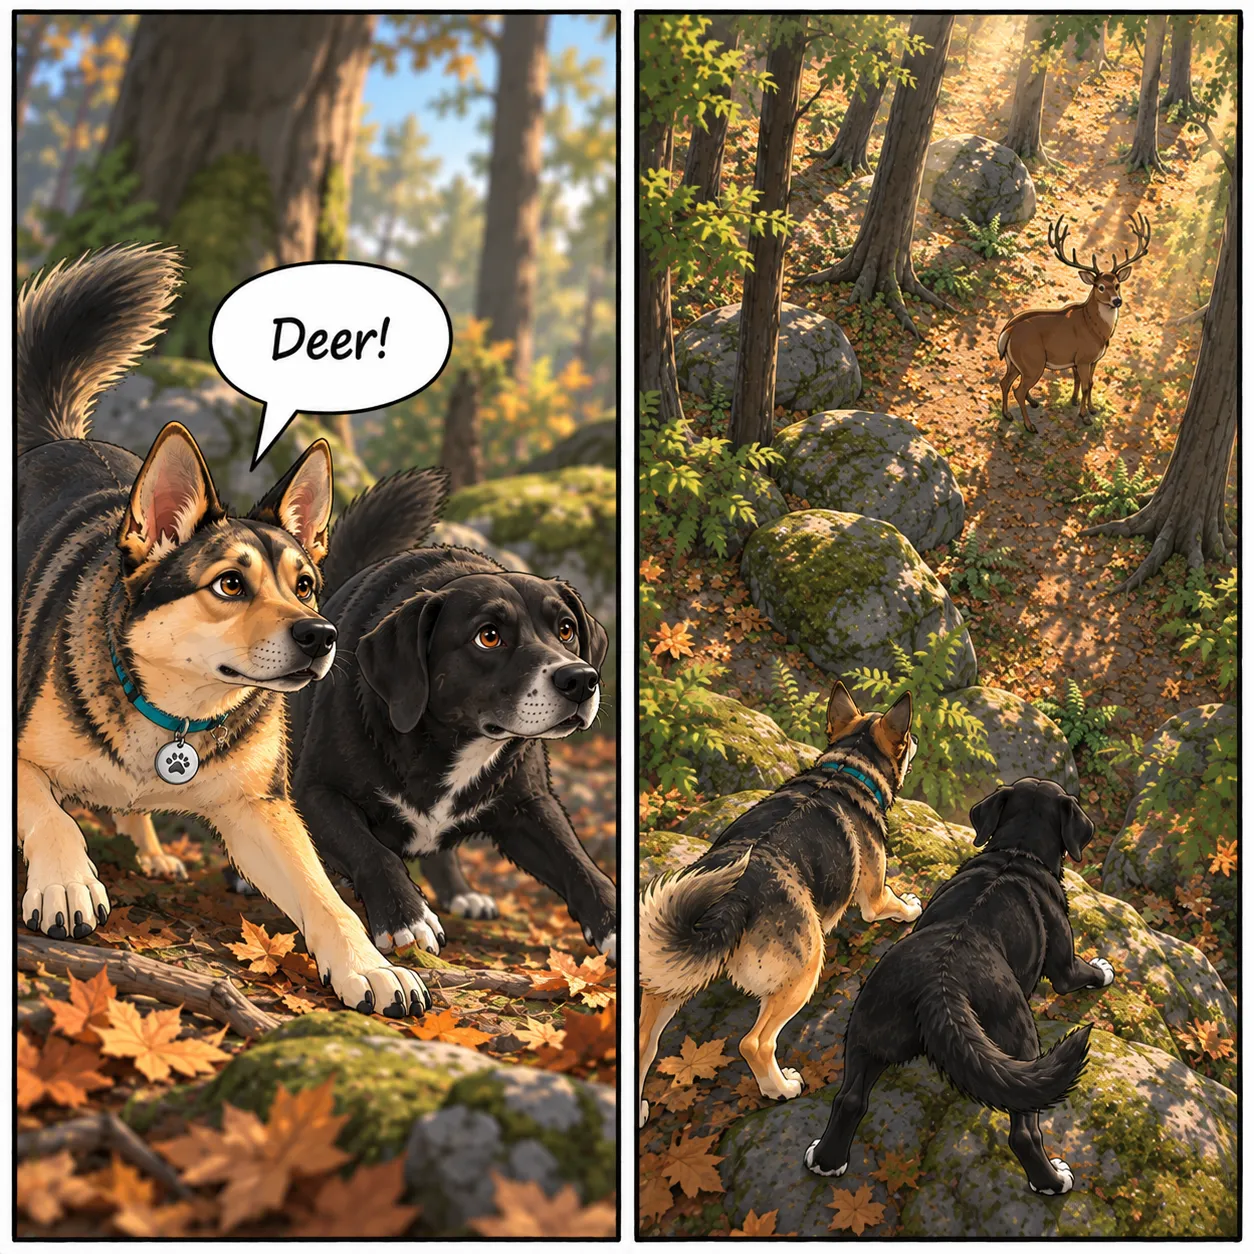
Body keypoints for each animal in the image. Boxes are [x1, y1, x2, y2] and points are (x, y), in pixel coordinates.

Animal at [997, 213, 1151, 433]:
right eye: (1100, 286)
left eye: (1117, 285)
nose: (1117, 301)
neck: (1096, 329)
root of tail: (1008, 331)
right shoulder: (1084, 357)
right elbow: (1086, 386)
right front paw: (1084, 416)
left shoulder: (1091, 359)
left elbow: (1090, 383)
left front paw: (1086, 406)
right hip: (1033, 361)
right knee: (1018, 390)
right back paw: (1029, 425)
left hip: (1015, 362)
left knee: (1005, 382)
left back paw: (1010, 413)